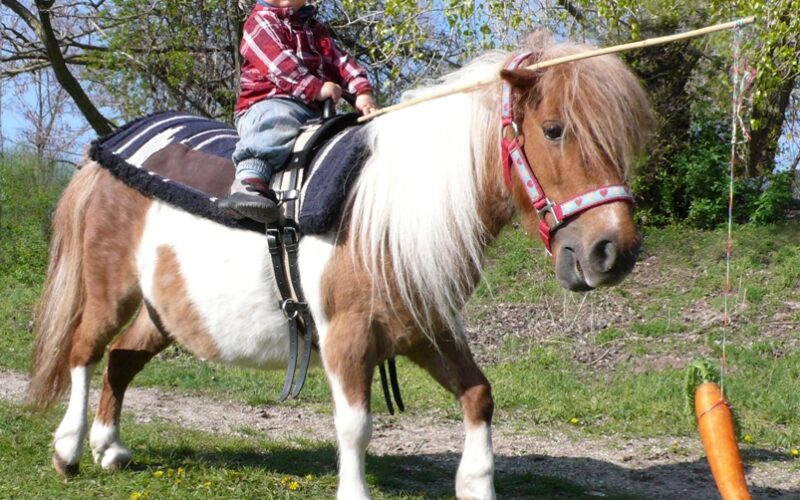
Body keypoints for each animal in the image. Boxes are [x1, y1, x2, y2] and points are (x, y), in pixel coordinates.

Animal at [28, 36, 652, 499]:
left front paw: (476, 483)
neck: (387, 214)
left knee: (121, 358)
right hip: (111, 291)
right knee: (84, 352)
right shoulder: (346, 338)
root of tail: (107, 151)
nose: (612, 252)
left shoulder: (428, 329)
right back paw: (68, 449)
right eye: (554, 129)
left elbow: (479, 395)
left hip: (165, 312)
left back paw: (109, 448)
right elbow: (356, 426)